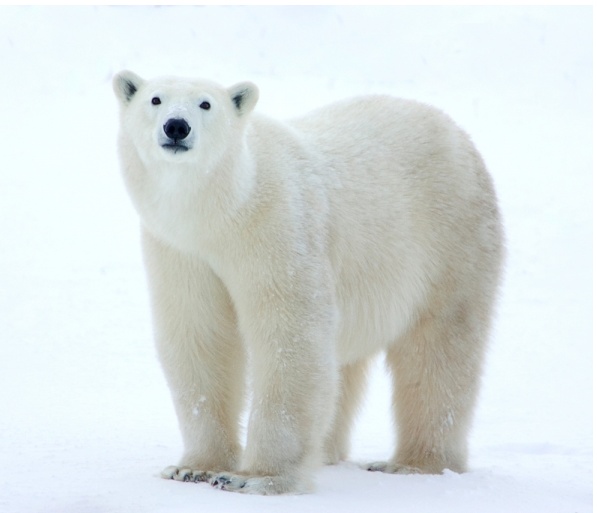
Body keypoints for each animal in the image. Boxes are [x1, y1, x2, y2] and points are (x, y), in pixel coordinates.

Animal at [113, 70, 502, 494]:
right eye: (155, 99)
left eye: (205, 103)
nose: (176, 126)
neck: (223, 211)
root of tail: (455, 132)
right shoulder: (180, 250)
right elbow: (199, 335)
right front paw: (193, 468)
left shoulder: (277, 226)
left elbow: (289, 335)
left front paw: (255, 478)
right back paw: (330, 452)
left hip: (449, 237)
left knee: (438, 349)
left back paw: (413, 463)